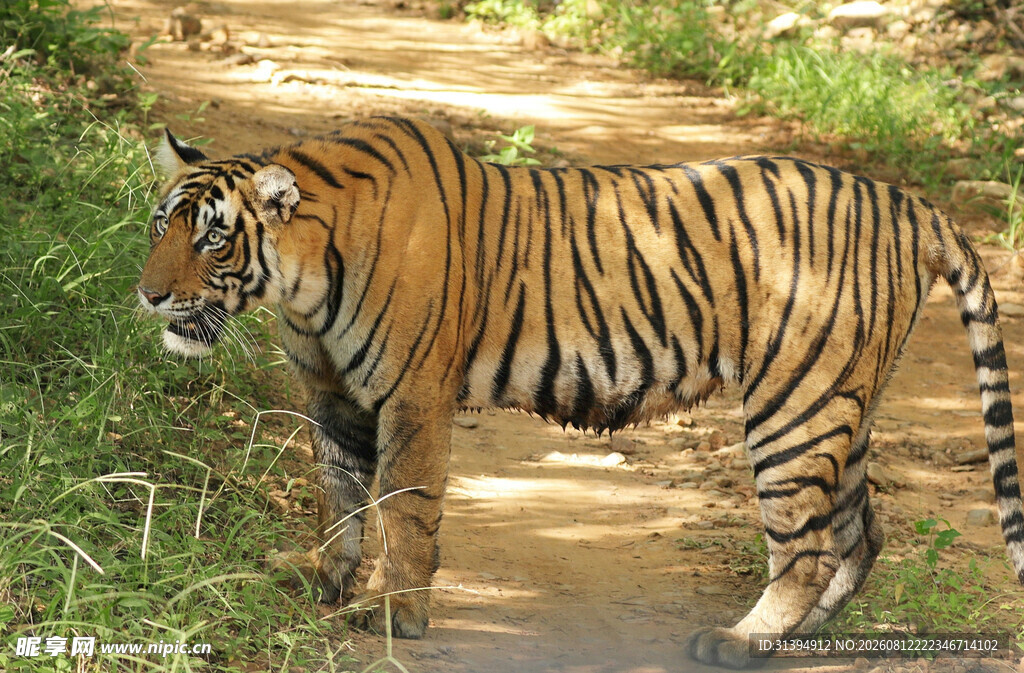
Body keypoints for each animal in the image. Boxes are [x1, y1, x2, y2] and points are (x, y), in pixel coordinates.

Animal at [137, 116, 1024, 668]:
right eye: (159, 225)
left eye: (213, 238)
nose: (148, 296)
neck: (299, 282)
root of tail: (907, 203)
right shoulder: (332, 394)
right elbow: (338, 494)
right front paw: (322, 579)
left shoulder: (412, 396)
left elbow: (405, 507)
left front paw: (396, 615)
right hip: (840, 401)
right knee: (861, 530)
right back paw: (803, 640)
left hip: (795, 404)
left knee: (808, 545)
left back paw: (742, 642)